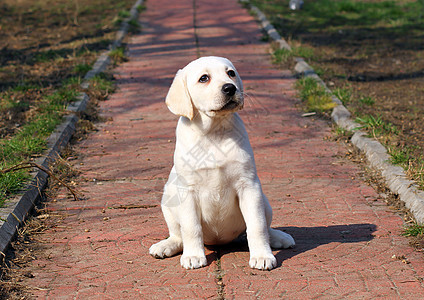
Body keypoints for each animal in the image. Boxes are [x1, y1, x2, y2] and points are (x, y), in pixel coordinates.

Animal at [150, 56, 294, 270]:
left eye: (231, 73)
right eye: (204, 78)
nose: (230, 88)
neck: (214, 132)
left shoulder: (248, 186)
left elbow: (257, 226)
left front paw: (262, 256)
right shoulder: (188, 190)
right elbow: (191, 228)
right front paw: (193, 256)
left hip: (264, 201)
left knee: (263, 227)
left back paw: (279, 238)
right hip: (168, 200)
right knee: (178, 234)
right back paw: (166, 245)